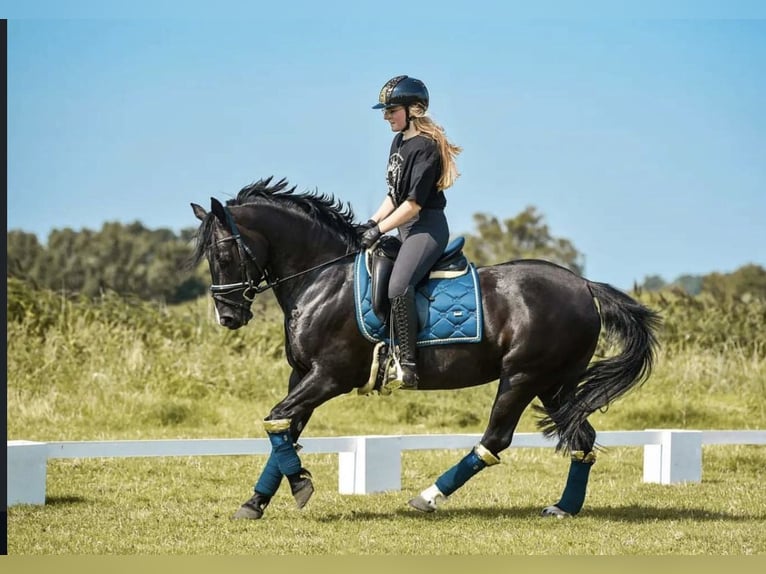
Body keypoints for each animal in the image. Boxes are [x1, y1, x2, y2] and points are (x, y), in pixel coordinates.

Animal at [190, 178, 660, 520]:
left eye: (224, 254)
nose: (228, 317)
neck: (322, 277)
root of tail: (583, 285)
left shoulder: (330, 376)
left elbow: (278, 419)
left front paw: (301, 486)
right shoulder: (302, 374)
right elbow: (284, 427)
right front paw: (256, 503)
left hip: (523, 377)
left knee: (496, 439)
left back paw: (428, 497)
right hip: (555, 384)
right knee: (581, 436)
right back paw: (564, 508)